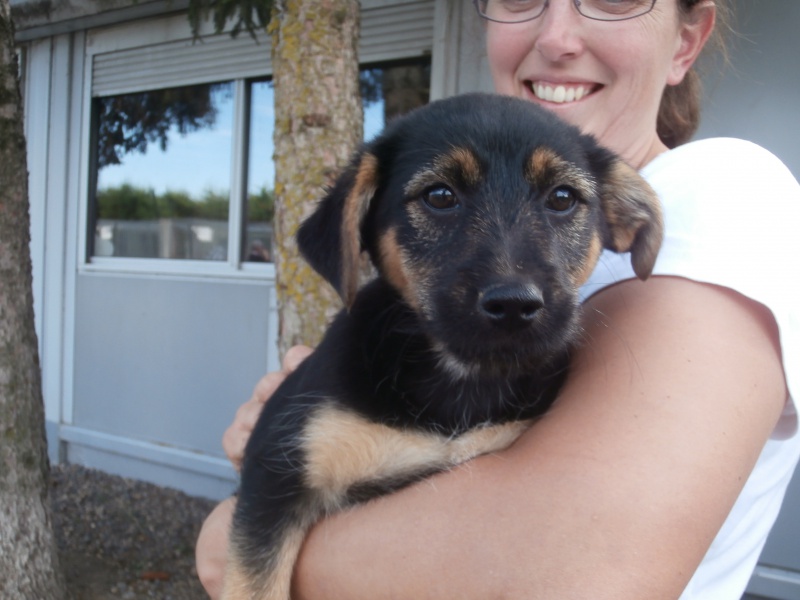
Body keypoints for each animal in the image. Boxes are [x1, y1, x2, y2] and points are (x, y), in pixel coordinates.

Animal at [219, 91, 664, 596]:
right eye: (439, 196)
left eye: (563, 198)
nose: (514, 305)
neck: (459, 382)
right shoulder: (276, 470)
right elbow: (255, 586)